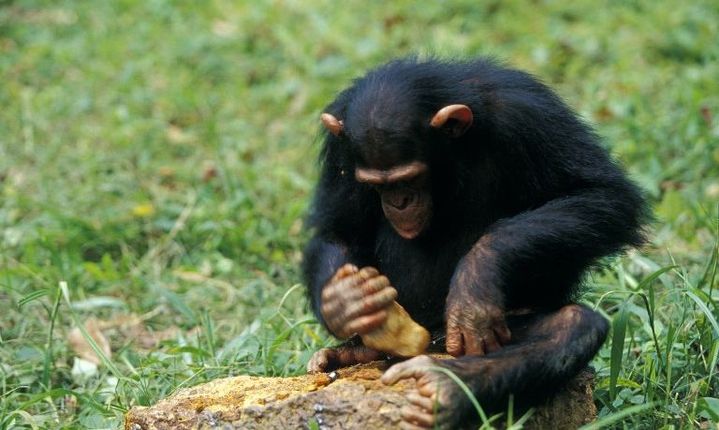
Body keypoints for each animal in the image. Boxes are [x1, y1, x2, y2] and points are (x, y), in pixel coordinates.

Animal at [300, 58, 648, 430]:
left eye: (411, 178)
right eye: (376, 184)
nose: (399, 202)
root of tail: (433, 341)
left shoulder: (529, 115)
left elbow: (601, 195)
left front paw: (475, 285)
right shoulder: (340, 149)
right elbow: (339, 230)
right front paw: (344, 299)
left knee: (572, 325)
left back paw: (446, 387)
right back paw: (357, 352)